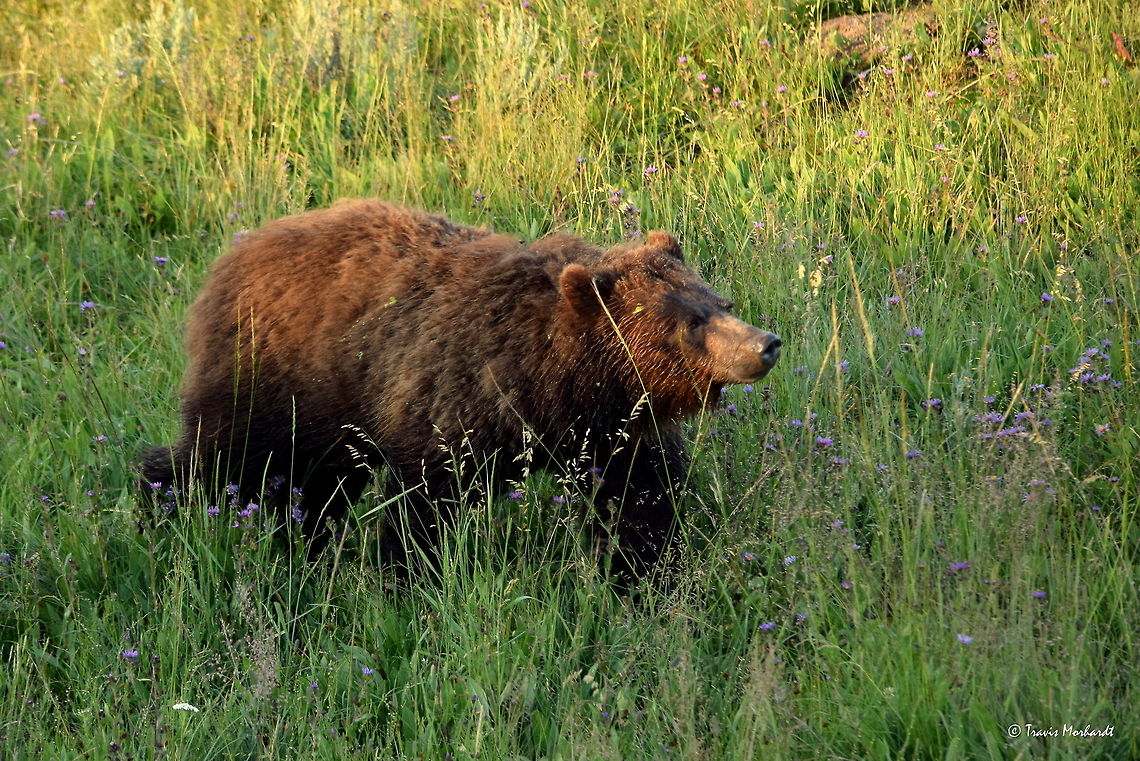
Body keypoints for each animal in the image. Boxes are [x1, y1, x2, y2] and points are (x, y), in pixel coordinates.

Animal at [141, 200, 781, 577]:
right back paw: (159, 506)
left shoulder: (608, 431)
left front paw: (644, 568)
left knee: (311, 482)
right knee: (226, 458)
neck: (555, 377)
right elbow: (425, 507)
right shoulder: (454, 403)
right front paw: (407, 575)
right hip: (284, 378)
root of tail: (234, 254)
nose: (764, 344)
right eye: (690, 322)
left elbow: (640, 498)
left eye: (719, 300)